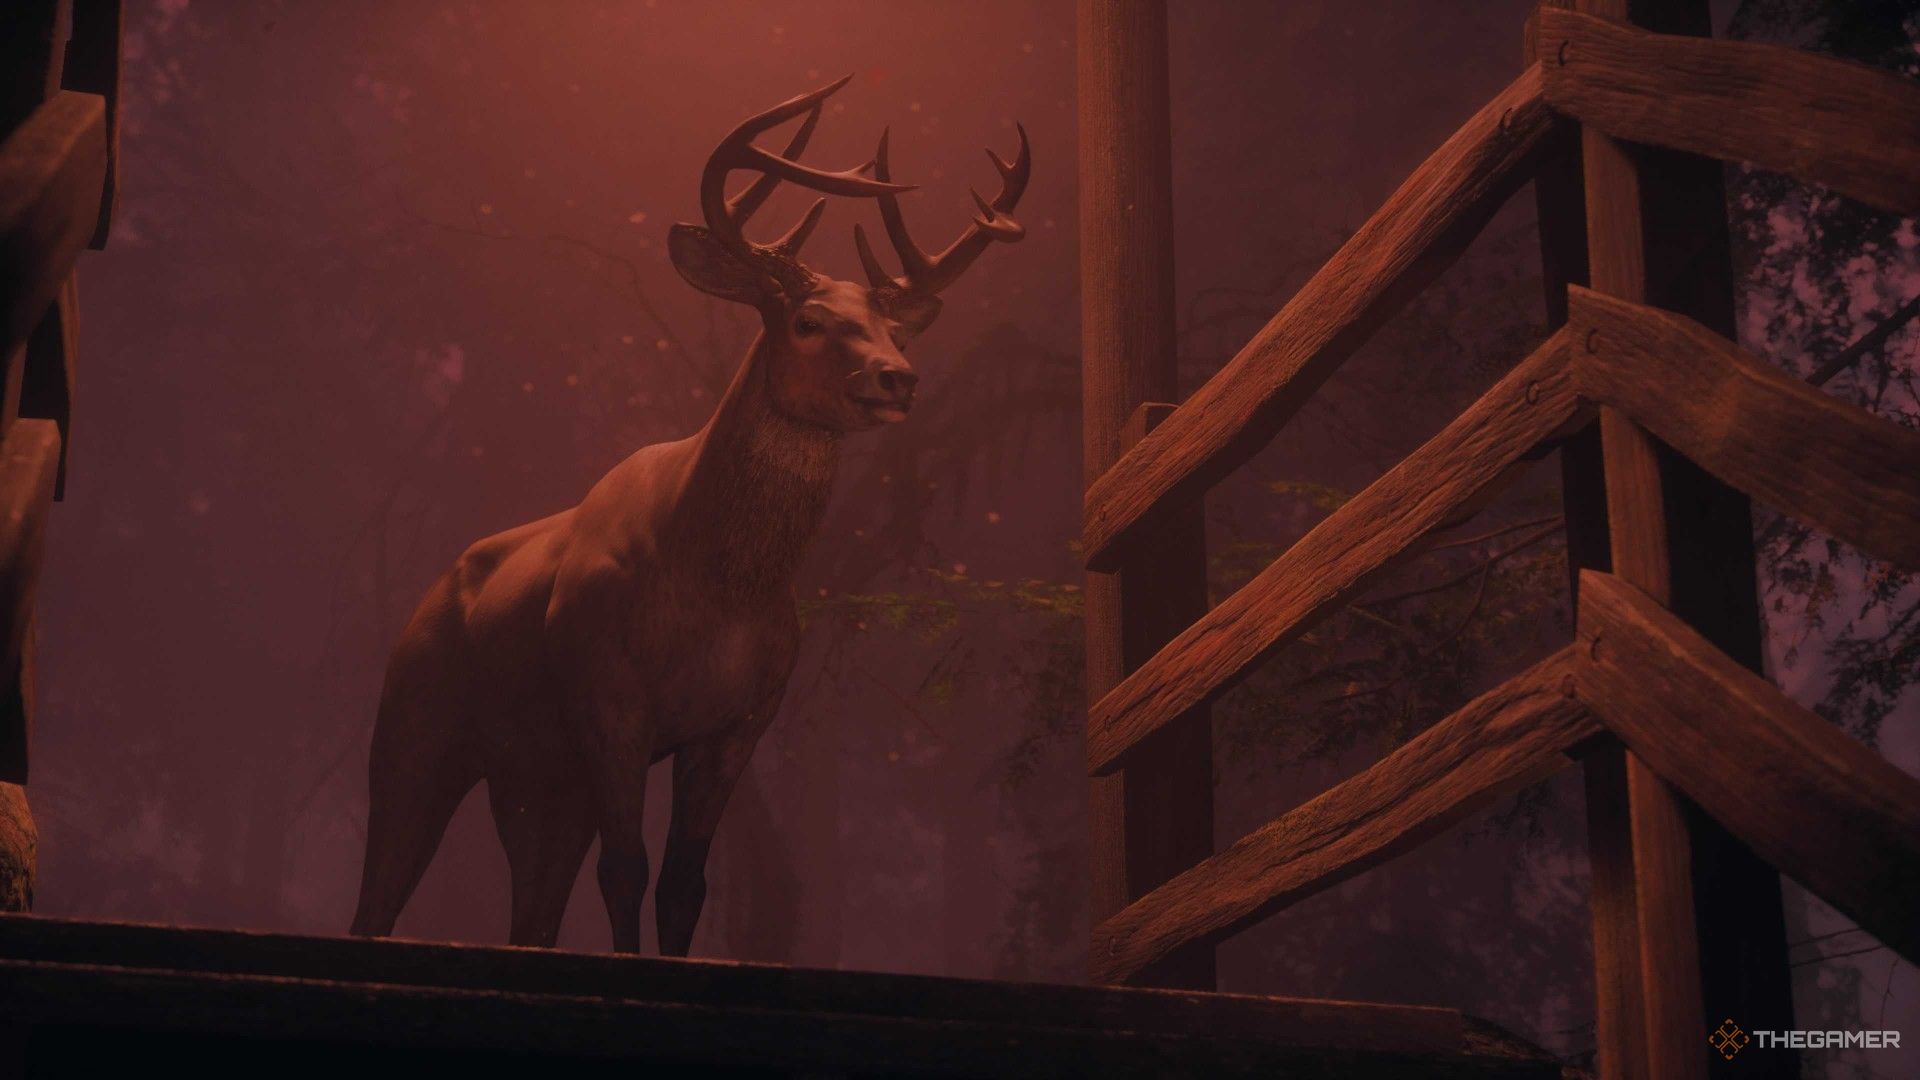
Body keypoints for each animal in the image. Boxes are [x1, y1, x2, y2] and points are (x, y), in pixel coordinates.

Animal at [348, 77, 1029, 955]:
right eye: (807, 320)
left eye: (892, 329)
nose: (897, 377)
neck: (717, 587)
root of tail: (431, 595)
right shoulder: (610, 698)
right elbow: (626, 870)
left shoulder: (739, 721)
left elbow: (684, 883)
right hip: (415, 723)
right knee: (379, 895)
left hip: (539, 774)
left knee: (532, 911)